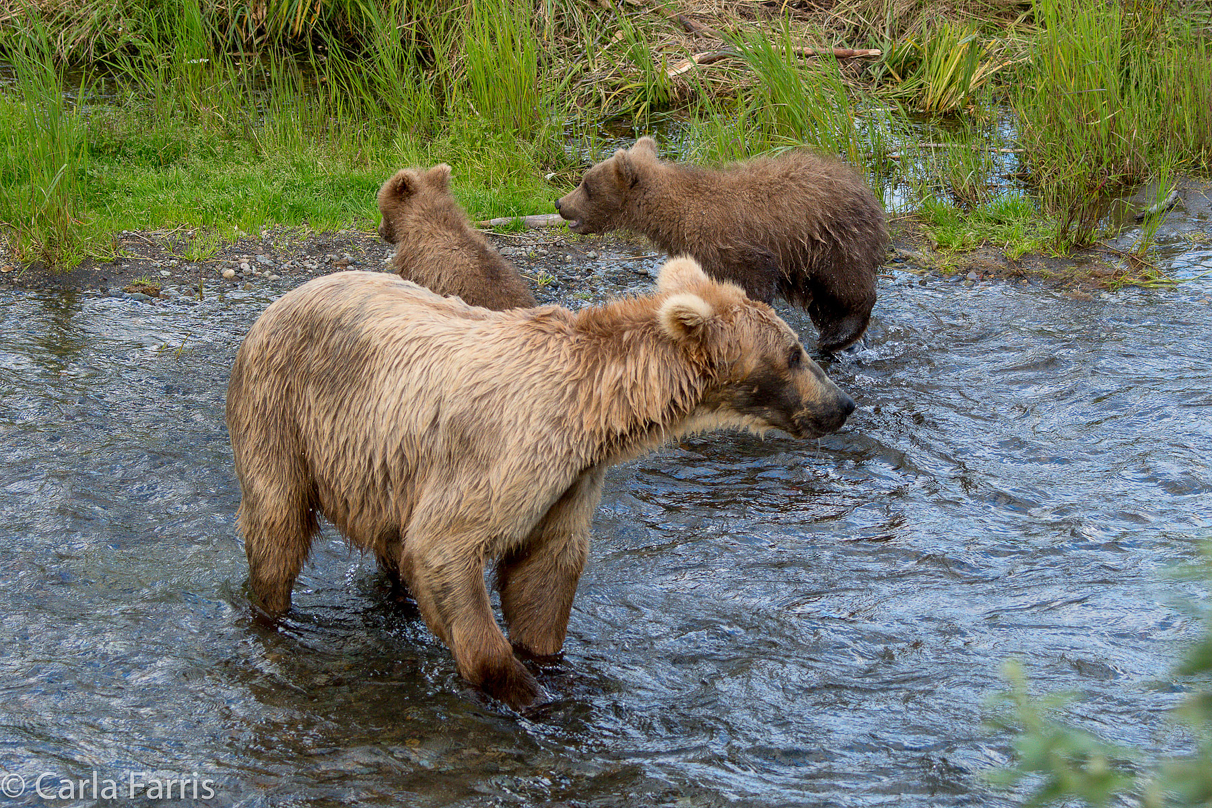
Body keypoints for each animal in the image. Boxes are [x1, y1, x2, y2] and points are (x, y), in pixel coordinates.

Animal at [225, 259, 853, 707]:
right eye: (794, 352)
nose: (842, 405)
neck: (597, 414)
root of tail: (281, 301)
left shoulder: (570, 481)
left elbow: (544, 574)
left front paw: (550, 663)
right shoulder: (509, 456)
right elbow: (445, 547)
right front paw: (527, 692)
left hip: (381, 465)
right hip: (282, 412)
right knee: (277, 525)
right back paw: (271, 617)